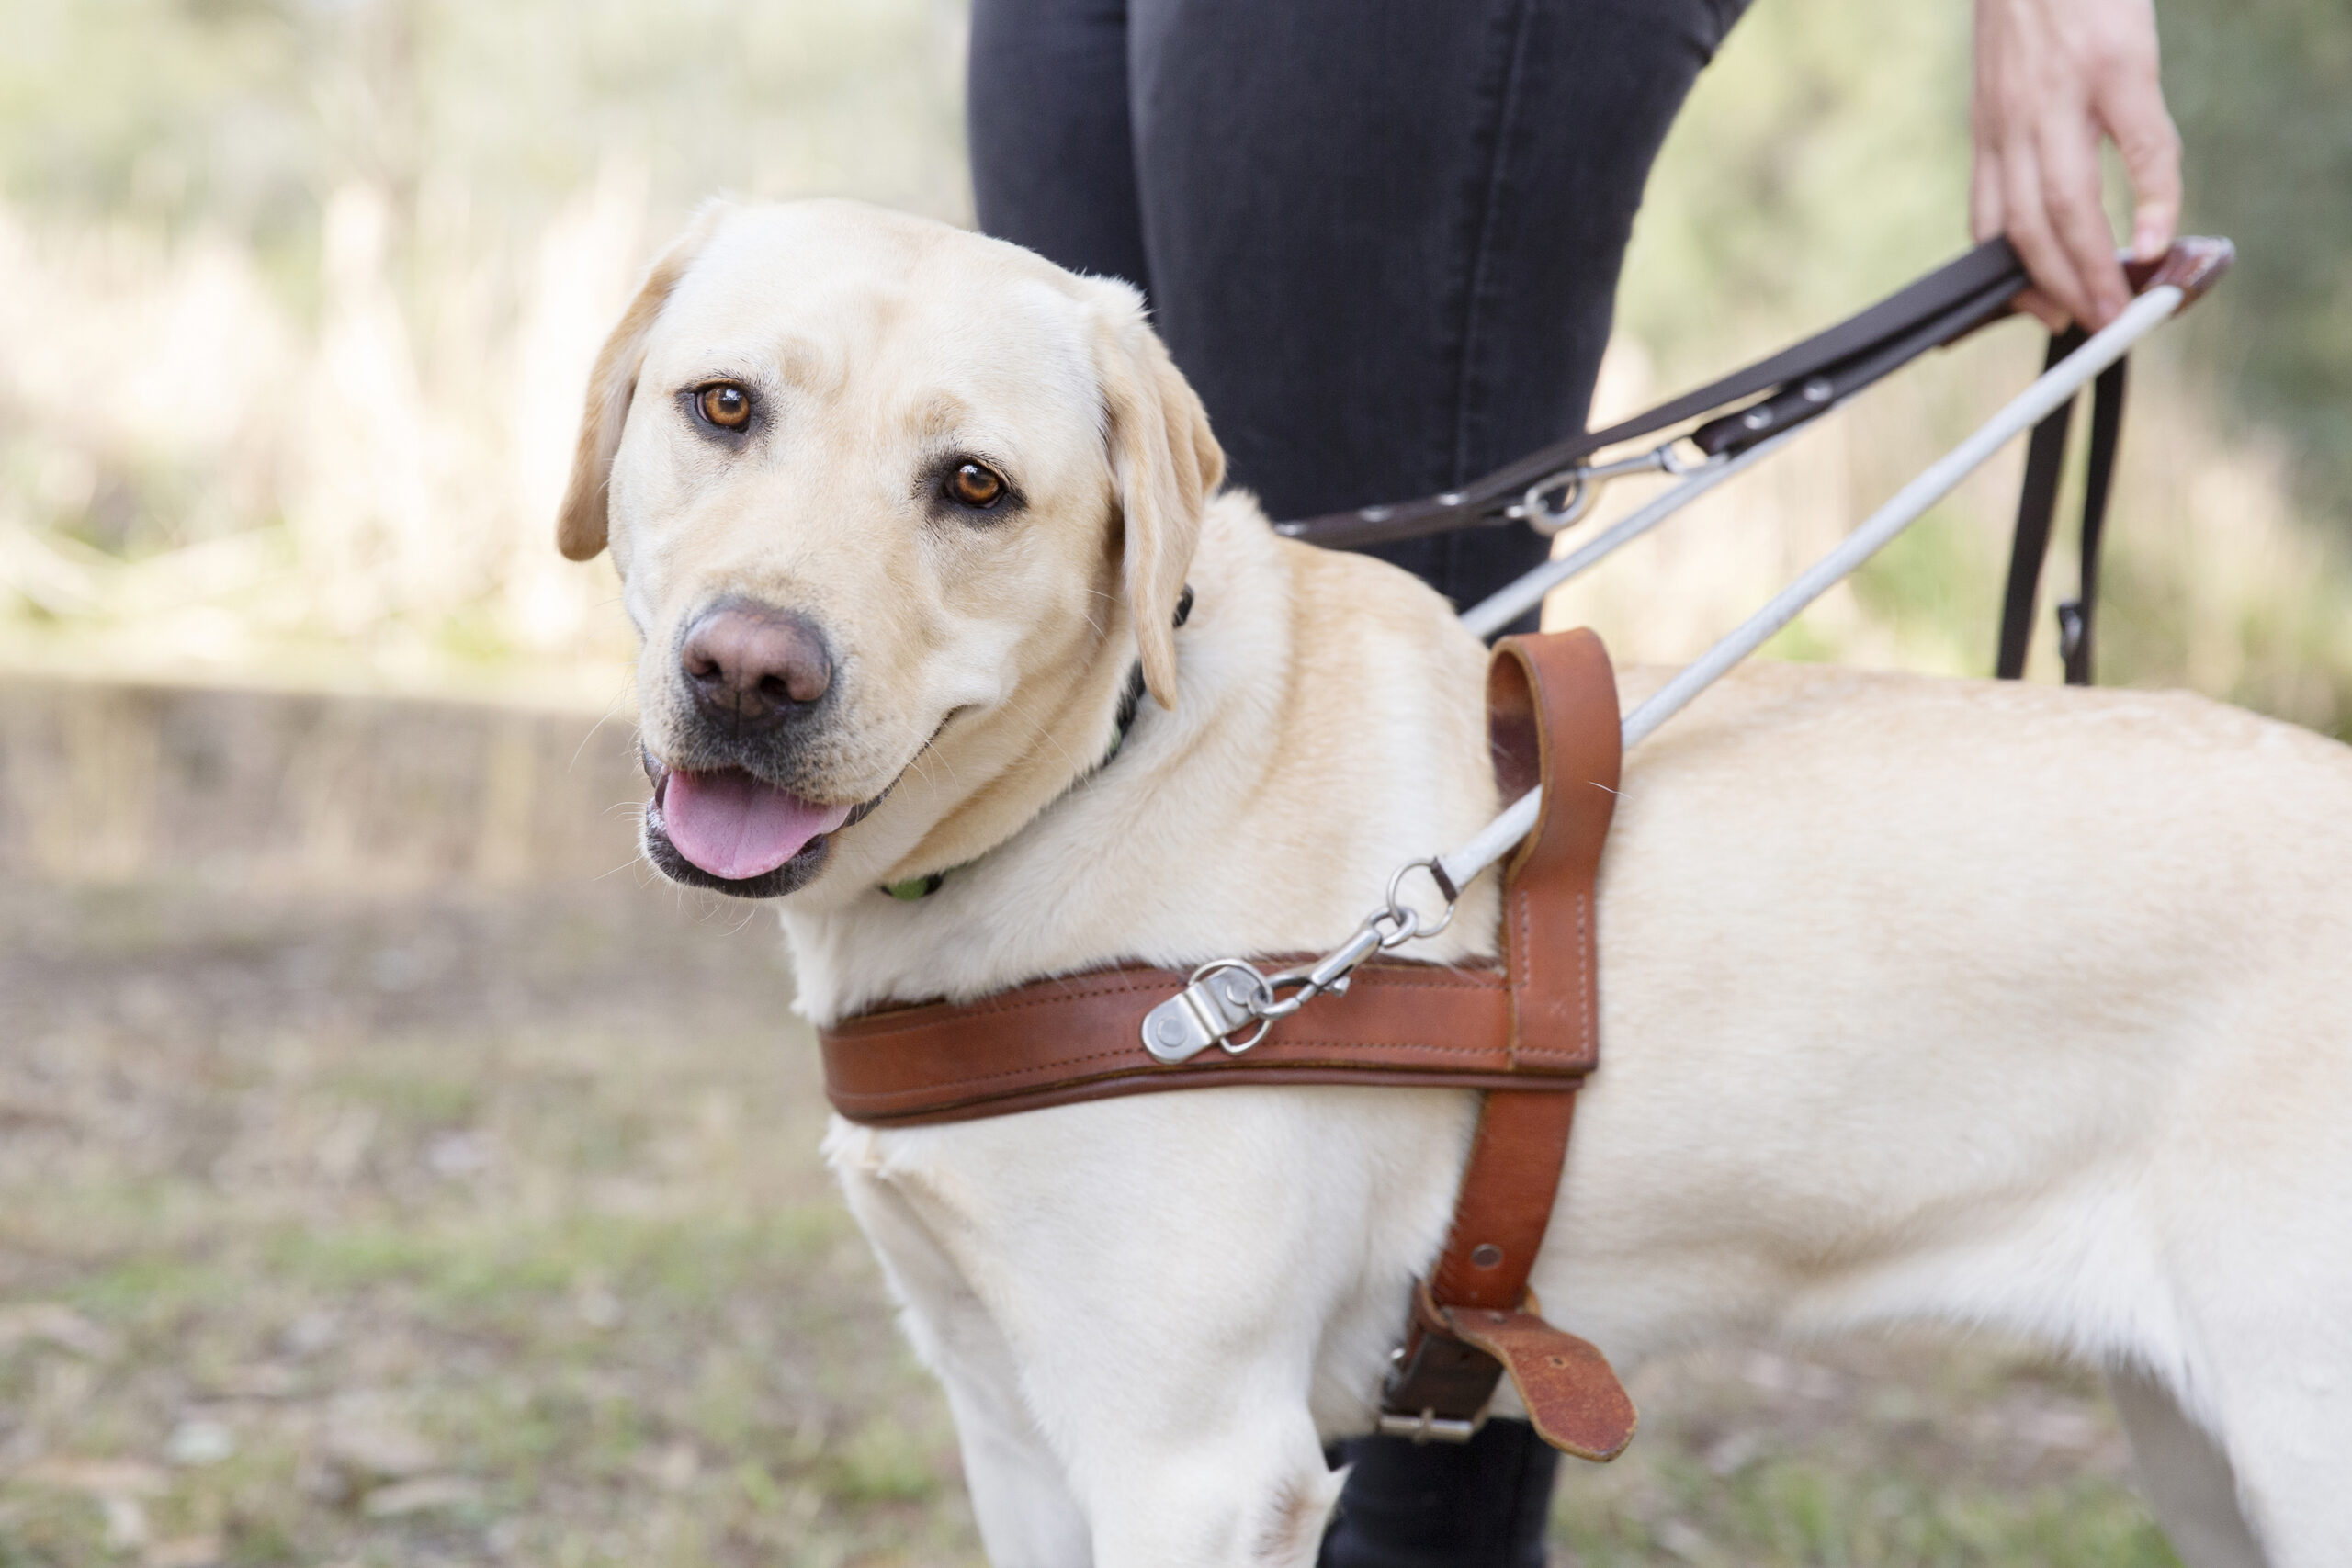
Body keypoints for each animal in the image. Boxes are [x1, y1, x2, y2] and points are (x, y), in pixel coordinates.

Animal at [564, 199, 2352, 1568]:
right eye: (723, 407)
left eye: (977, 488)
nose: (749, 671)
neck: (1093, 782)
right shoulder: (1010, 1414)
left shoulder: (1196, 1457)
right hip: (2203, 1452)